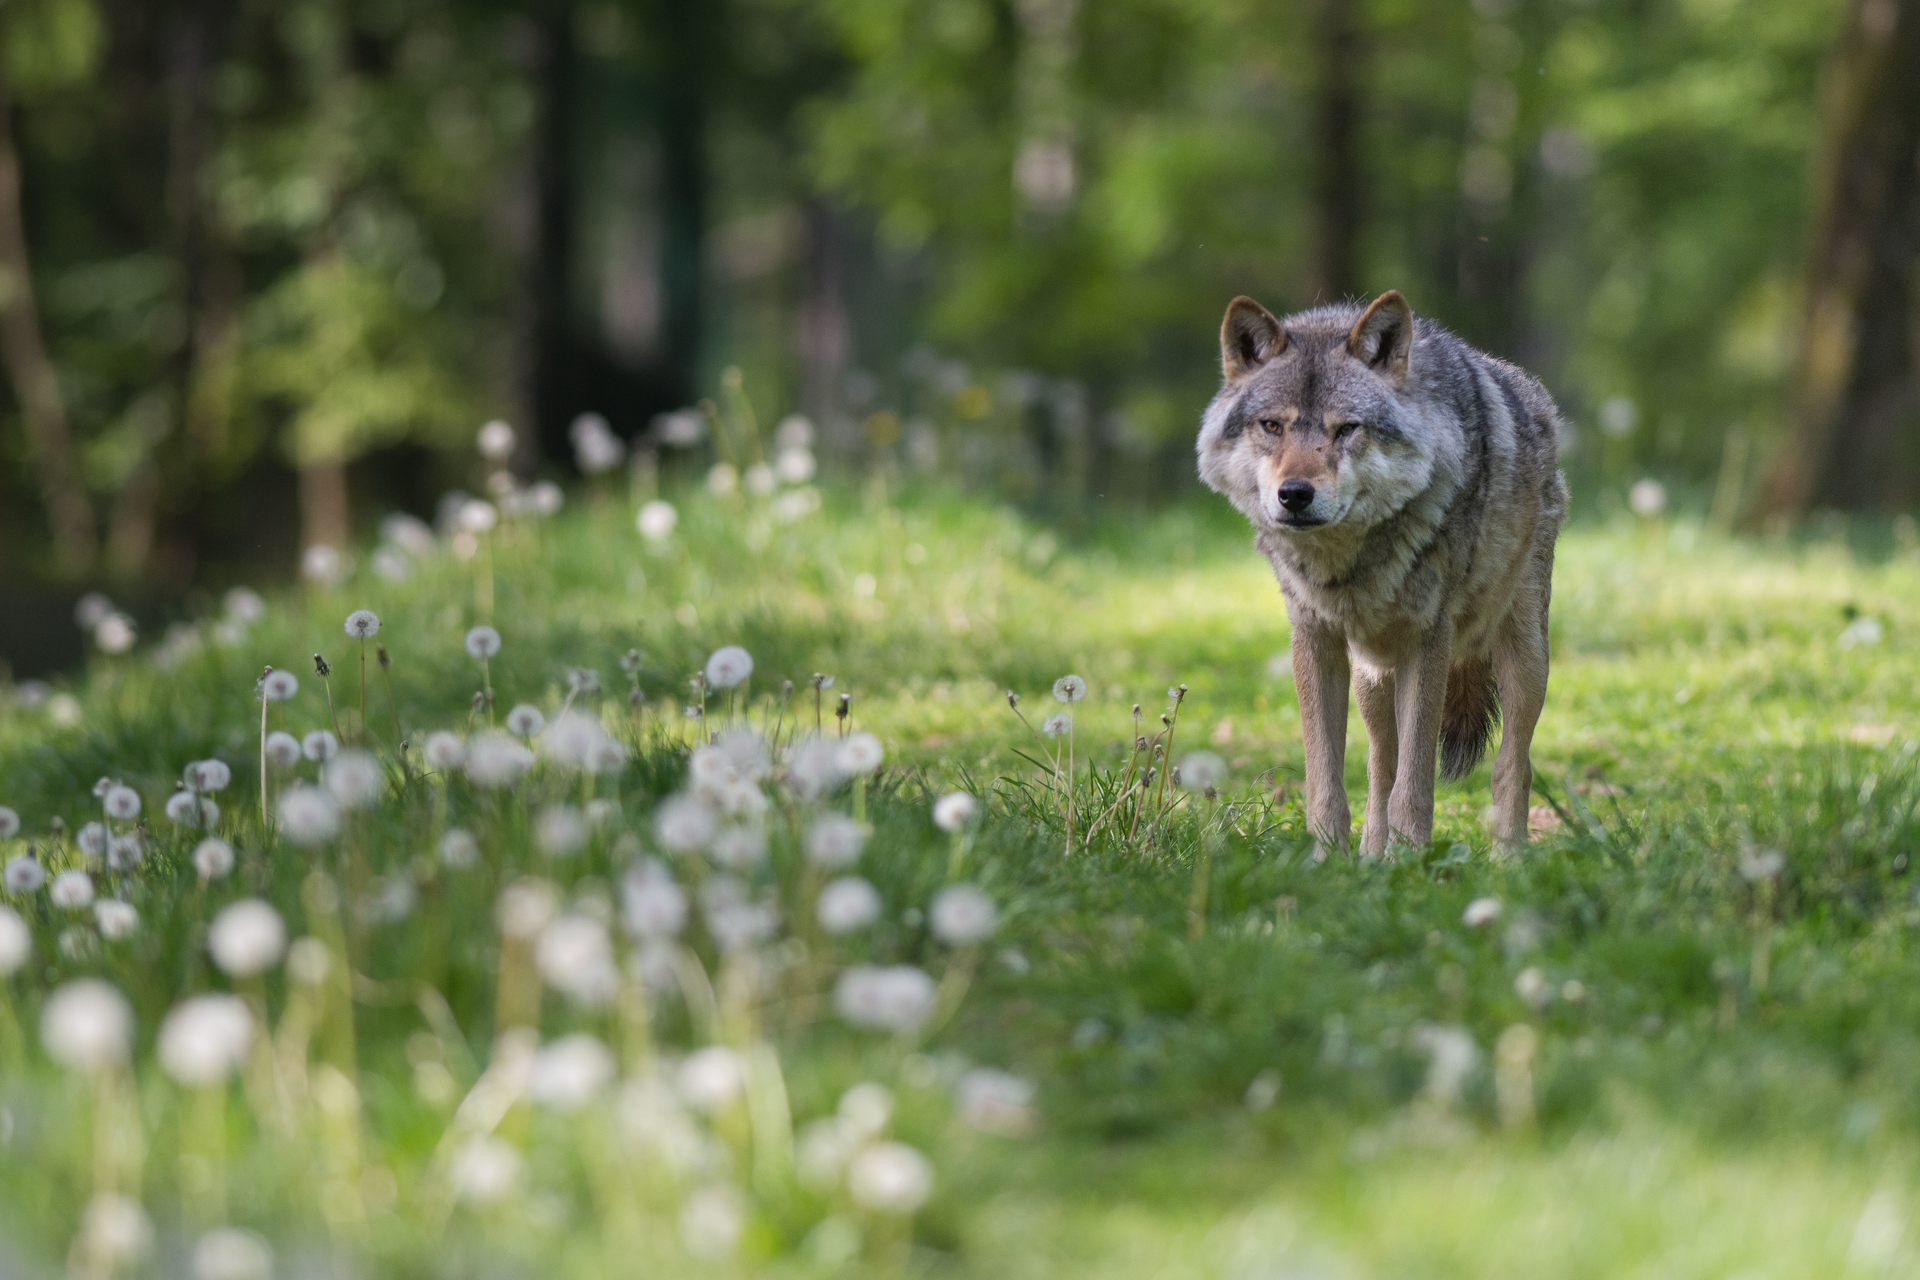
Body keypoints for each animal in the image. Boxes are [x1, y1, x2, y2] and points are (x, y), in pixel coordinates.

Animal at [1195, 291, 1567, 856]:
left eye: (1346, 428)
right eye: (1273, 426)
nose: (1295, 494)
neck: (1348, 563)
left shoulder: (1428, 641)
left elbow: (1415, 784)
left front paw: (1411, 860)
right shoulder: (1314, 638)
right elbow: (1327, 779)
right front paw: (1329, 857)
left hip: (1526, 660)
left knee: (1513, 765)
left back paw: (1510, 858)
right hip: (1372, 677)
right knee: (1378, 766)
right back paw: (1372, 855)